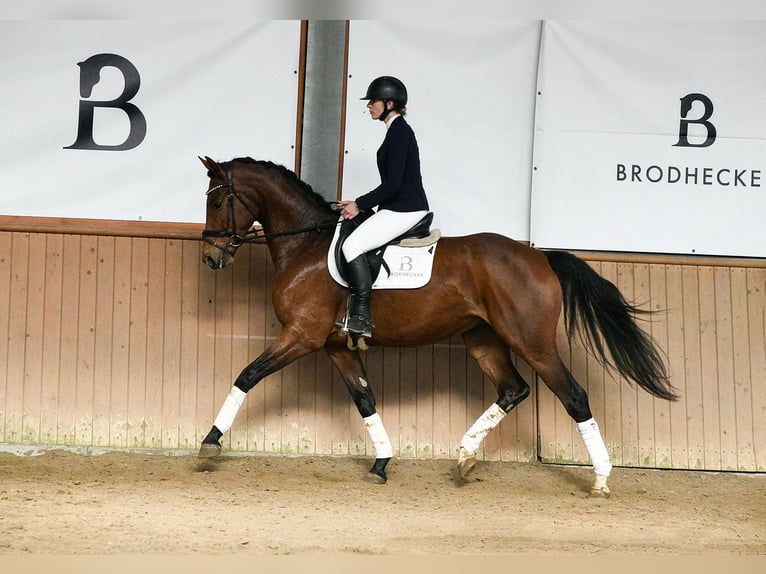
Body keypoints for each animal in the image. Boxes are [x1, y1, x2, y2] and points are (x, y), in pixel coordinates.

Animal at [197, 156, 677, 497]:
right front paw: (381, 464)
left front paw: (210, 444)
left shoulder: (301, 335)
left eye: (217, 201)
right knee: (513, 389)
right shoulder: (335, 345)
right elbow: (365, 400)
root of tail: (539, 256)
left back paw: (600, 480)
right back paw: (464, 457)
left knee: (573, 396)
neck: (306, 245)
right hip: (482, 338)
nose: (211, 257)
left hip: (531, 341)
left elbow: (247, 375)